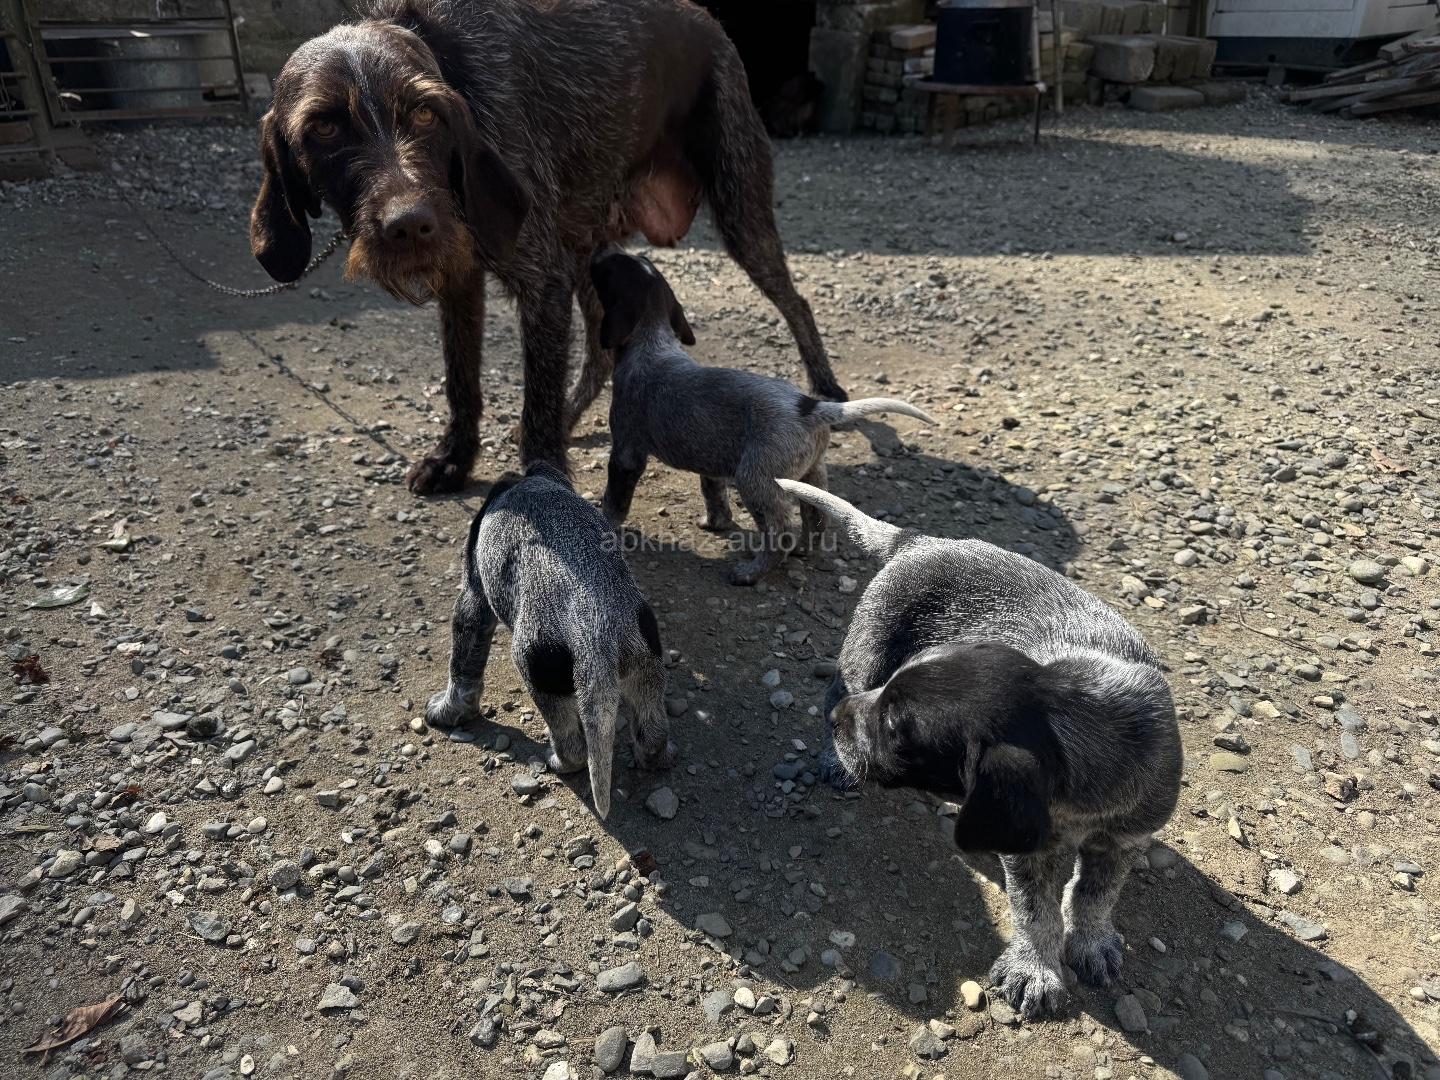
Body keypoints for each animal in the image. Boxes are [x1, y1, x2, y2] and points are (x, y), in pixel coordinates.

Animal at [249, 0, 845, 497]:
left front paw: (544, 478)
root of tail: (708, 19)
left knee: (796, 302)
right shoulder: (462, 280)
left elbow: (537, 397)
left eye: (424, 113)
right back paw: (571, 414)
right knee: (600, 349)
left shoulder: (541, 282)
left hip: (740, 217)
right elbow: (461, 379)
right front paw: (455, 458)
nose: (410, 225)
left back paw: (826, 385)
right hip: (589, 251)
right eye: (323, 128)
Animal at [425, 461, 673, 819]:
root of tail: (594, 635)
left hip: (539, 674)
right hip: (645, 661)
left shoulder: (474, 594)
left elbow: (462, 669)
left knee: (572, 745)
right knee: (652, 732)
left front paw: (447, 711)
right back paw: (655, 756)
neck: (531, 485)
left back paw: (557, 761)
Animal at [590, 247, 935, 585]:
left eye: (609, 267)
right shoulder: (711, 463)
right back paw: (803, 550)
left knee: (779, 531)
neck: (651, 341)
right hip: (810, 472)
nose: (600, 249)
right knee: (816, 516)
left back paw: (752, 572)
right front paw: (716, 523)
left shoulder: (626, 453)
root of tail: (812, 407)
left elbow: (615, 501)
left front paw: (605, 524)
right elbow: (714, 494)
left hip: (755, 479)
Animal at [777, 479, 1181, 1020]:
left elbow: (1096, 895)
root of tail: (916, 541)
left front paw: (1092, 941)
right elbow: (1035, 910)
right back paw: (834, 757)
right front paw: (1037, 968)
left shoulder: (1125, 839)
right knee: (834, 692)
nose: (845, 721)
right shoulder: (1025, 850)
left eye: (896, 728)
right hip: (865, 654)